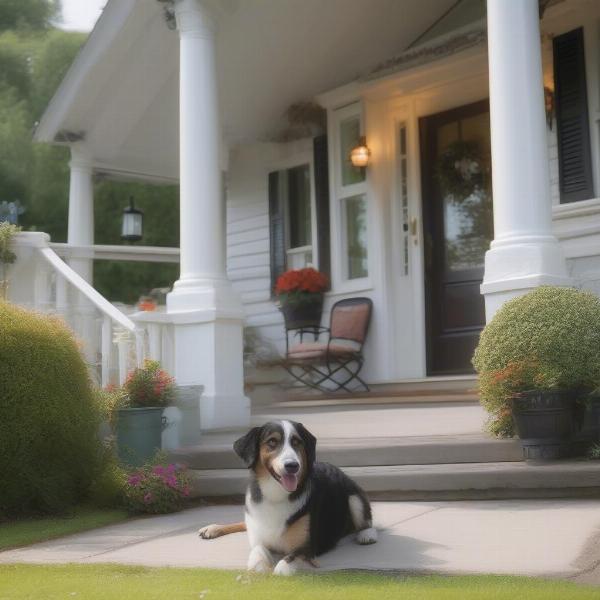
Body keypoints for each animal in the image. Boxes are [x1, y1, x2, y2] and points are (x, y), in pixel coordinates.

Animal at [197, 420, 376, 576]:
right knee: (243, 524)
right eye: (272, 442)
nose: (292, 466)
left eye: (297, 442)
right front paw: (259, 566)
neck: (276, 494)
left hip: (354, 498)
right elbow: (257, 553)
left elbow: (283, 566)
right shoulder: (258, 536)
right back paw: (212, 528)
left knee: (366, 521)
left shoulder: (306, 548)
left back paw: (367, 535)